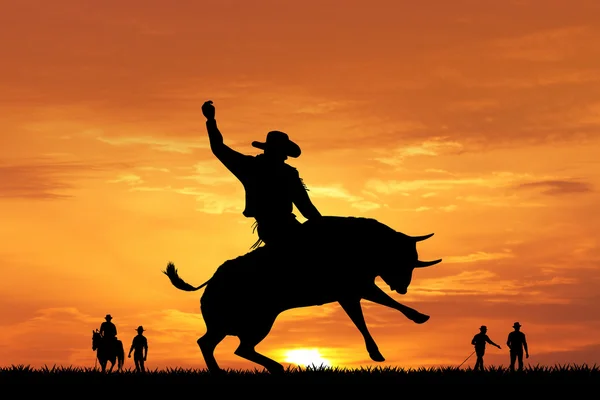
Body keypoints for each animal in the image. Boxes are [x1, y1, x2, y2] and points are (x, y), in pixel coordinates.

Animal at [163, 217, 440, 374]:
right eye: (405, 258)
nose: (403, 287)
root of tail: (211, 280)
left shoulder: (351, 292)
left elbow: (363, 317)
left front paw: (378, 350)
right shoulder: (356, 288)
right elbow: (381, 306)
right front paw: (417, 317)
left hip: (242, 323)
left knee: (218, 344)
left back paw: (262, 368)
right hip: (255, 322)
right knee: (231, 346)